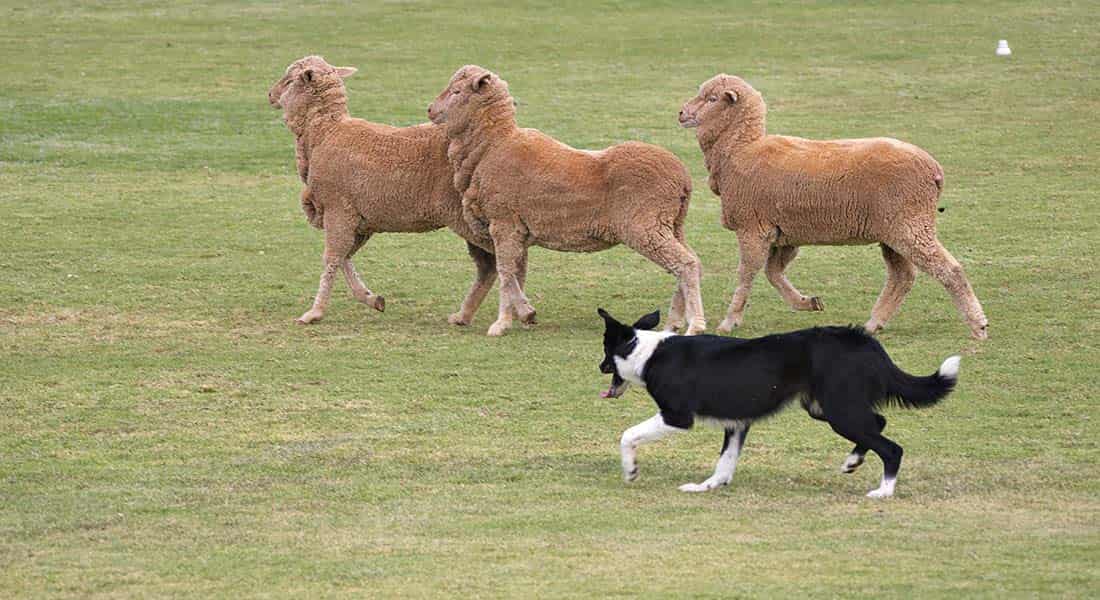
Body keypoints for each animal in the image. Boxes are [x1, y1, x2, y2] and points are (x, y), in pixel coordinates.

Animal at [270, 55, 503, 325]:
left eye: (289, 80)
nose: (270, 94)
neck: (324, 132)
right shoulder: (360, 220)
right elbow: (344, 257)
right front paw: (371, 298)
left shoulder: (338, 209)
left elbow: (331, 258)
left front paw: (314, 312)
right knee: (489, 265)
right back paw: (466, 315)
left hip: (469, 218)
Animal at [429, 67, 704, 336]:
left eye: (456, 91)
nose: (430, 110)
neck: (492, 145)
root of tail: (683, 177)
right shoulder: (515, 229)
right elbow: (513, 272)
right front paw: (525, 313)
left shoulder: (504, 222)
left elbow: (505, 272)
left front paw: (501, 323)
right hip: (670, 224)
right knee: (690, 262)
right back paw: (674, 323)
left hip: (646, 226)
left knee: (686, 264)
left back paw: (696, 325)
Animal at [598, 308, 959, 495]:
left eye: (604, 352)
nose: (599, 367)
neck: (644, 350)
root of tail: (863, 340)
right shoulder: (737, 423)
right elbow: (725, 460)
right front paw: (709, 485)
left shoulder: (676, 416)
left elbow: (627, 435)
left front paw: (630, 470)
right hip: (824, 407)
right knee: (878, 423)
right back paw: (853, 461)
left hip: (839, 412)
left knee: (891, 447)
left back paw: (884, 491)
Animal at [677, 72, 990, 339]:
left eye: (712, 99)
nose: (680, 113)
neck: (739, 150)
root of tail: (934, 169)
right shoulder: (785, 234)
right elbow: (773, 273)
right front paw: (807, 302)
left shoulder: (753, 228)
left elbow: (747, 274)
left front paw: (729, 321)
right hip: (894, 233)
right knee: (902, 277)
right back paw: (874, 323)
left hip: (910, 225)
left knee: (949, 270)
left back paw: (978, 325)